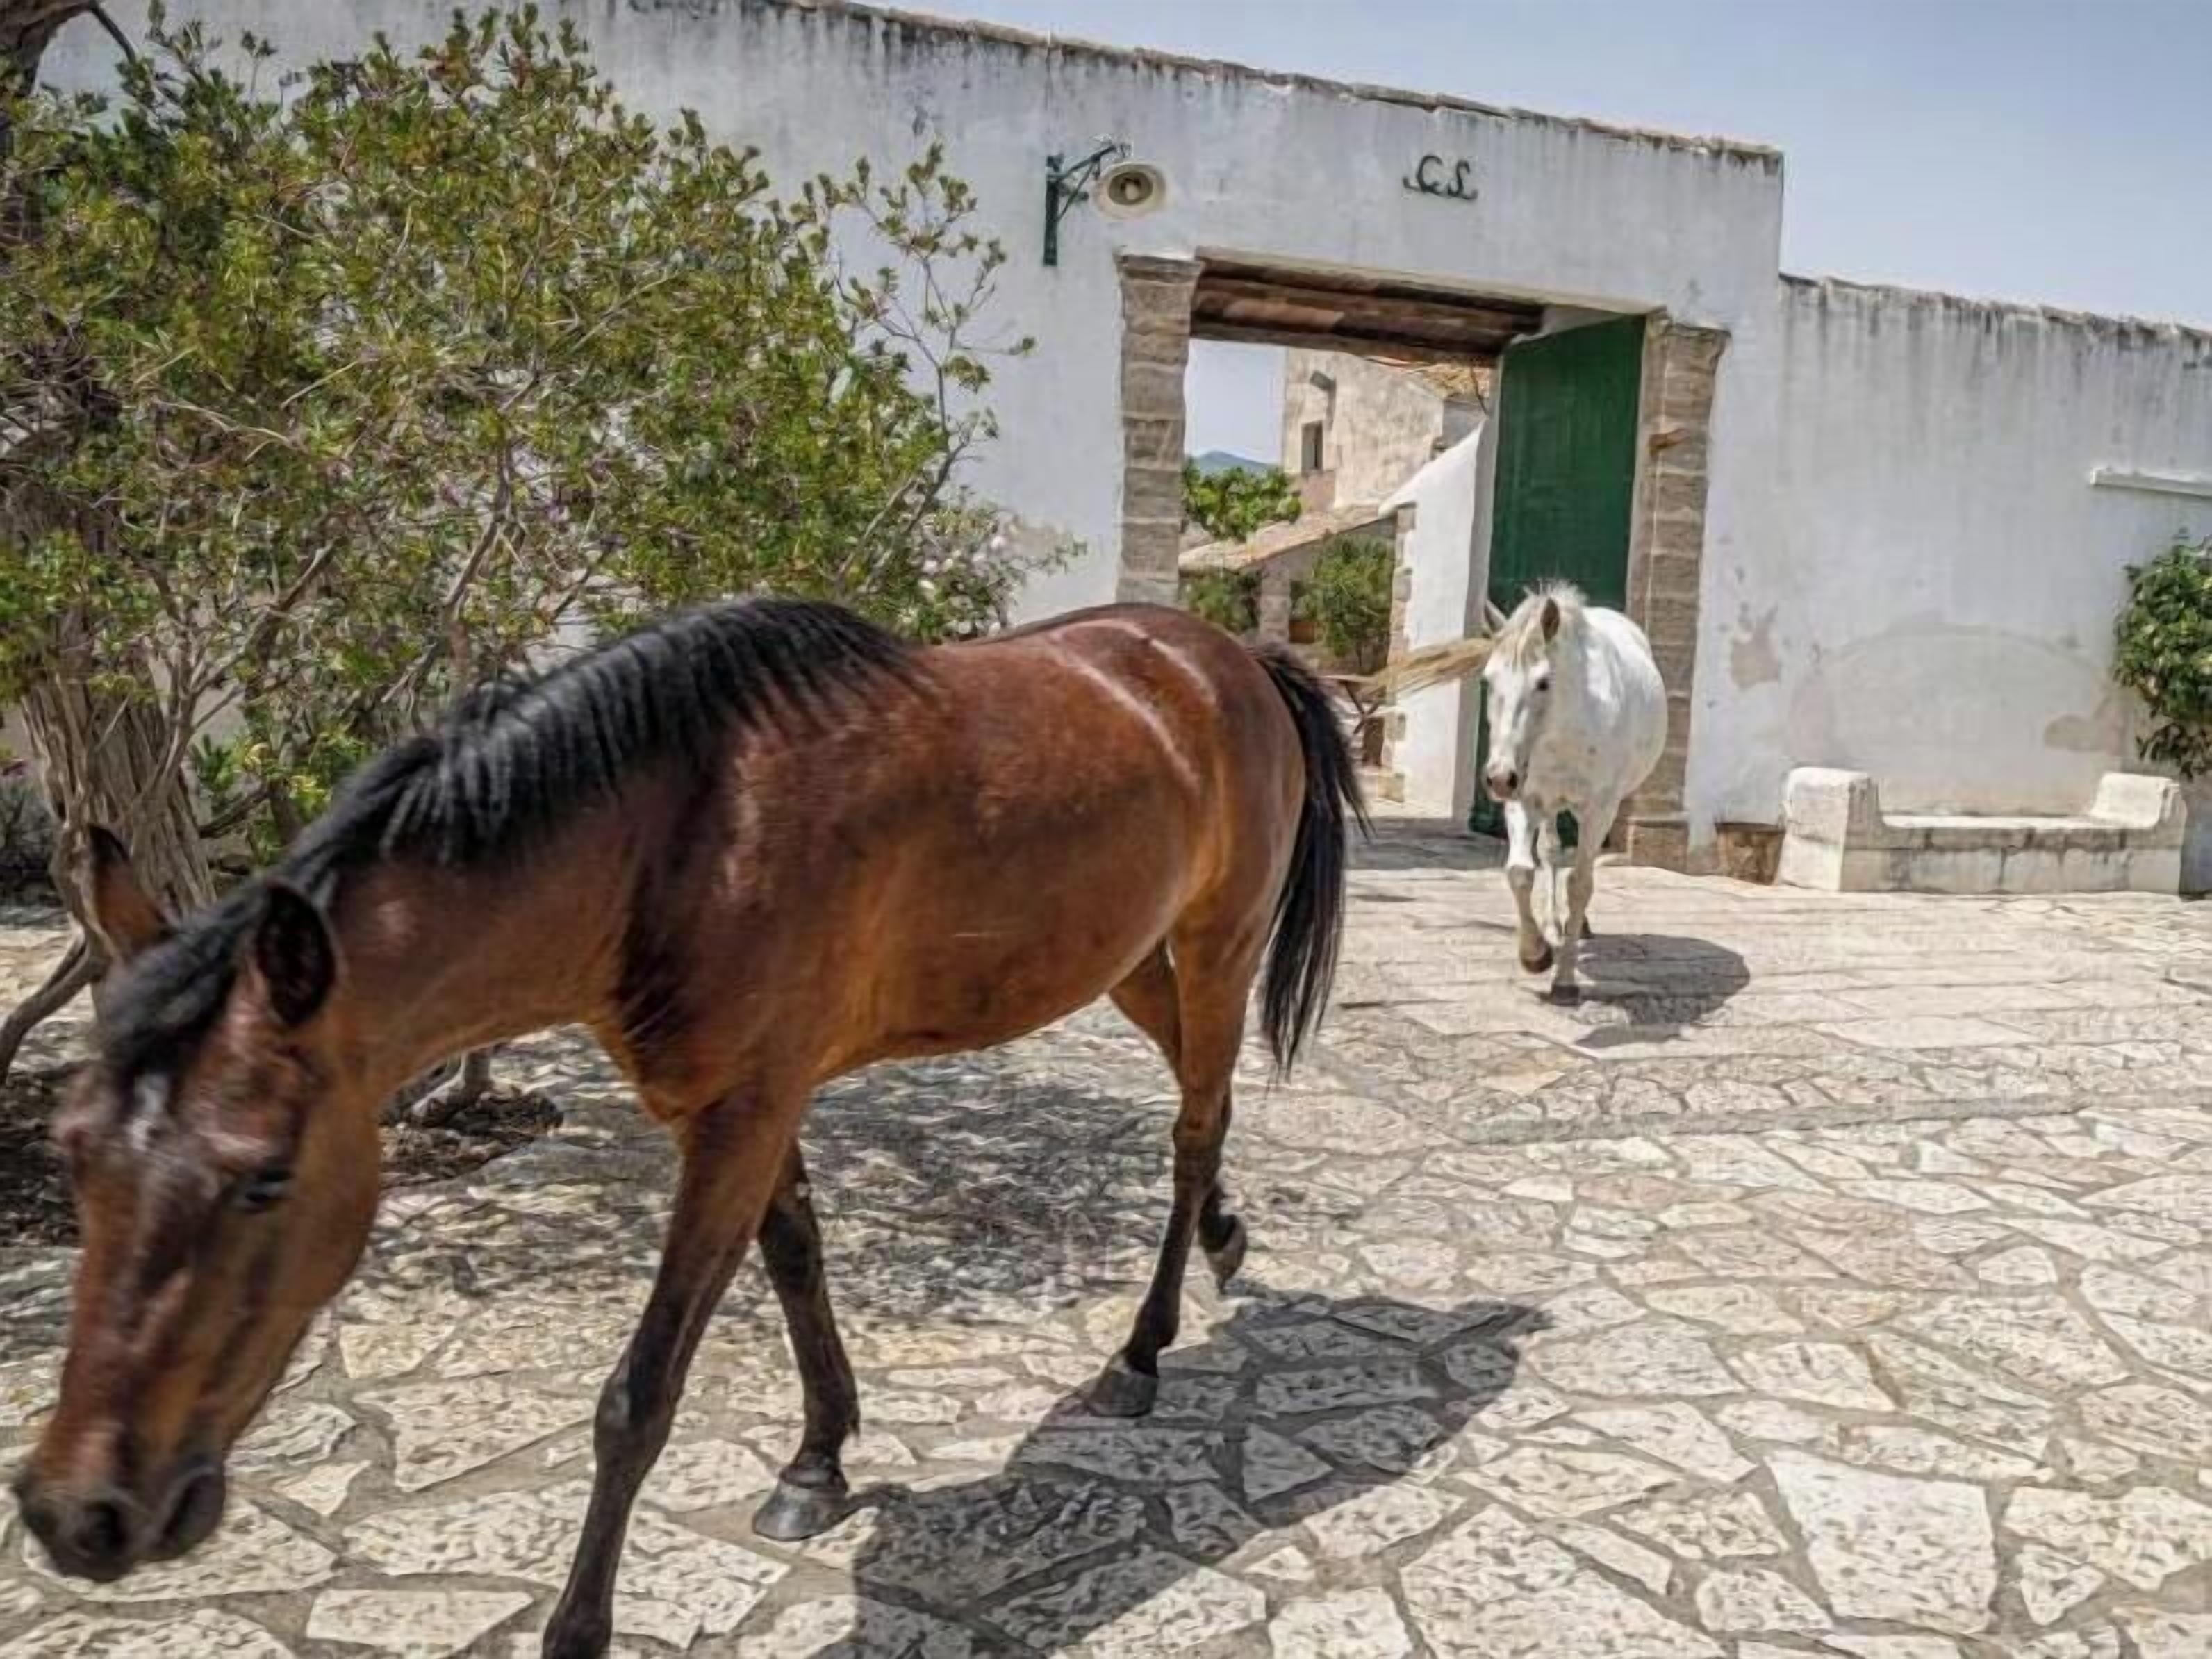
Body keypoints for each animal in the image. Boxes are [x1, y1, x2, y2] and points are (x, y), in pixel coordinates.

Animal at [13, 597, 1364, 1659]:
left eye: (262, 1179)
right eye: (73, 1152)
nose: (78, 1512)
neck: (678, 834)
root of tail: (1225, 656)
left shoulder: (739, 1116)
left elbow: (640, 1394)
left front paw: (578, 1630)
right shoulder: (751, 1104)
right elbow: (797, 1260)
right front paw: (817, 1461)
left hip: (1216, 947)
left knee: (1191, 1127)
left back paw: (1141, 1350)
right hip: (1131, 960)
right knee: (1203, 1106)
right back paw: (1226, 1241)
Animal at [1480, 582, 1666, 1000]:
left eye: (1543, 683)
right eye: (1488, 680)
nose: (1498, 777)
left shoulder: (1600, 808)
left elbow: (1581, 884)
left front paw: (1564, 979)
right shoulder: (1524, 798)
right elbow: (1520, 872)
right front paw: (1536, 954)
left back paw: (1577, 928)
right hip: (1549, 803)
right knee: (1550, 852)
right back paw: (1553, 926)